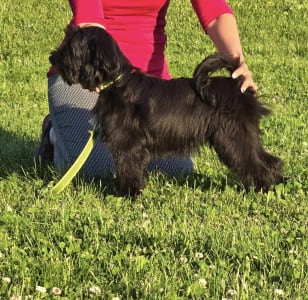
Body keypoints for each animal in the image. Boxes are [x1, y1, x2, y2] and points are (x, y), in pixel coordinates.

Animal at [50, 25, 284, 195]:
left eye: (72, 46)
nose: (52, 57)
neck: (118, 82)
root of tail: (238, 86)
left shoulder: (128, 146)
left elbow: (128, 169)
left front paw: (128, 194)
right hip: (244, 137)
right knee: (270, 160)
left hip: (233, 140)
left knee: (257, 165)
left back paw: (262, 189)